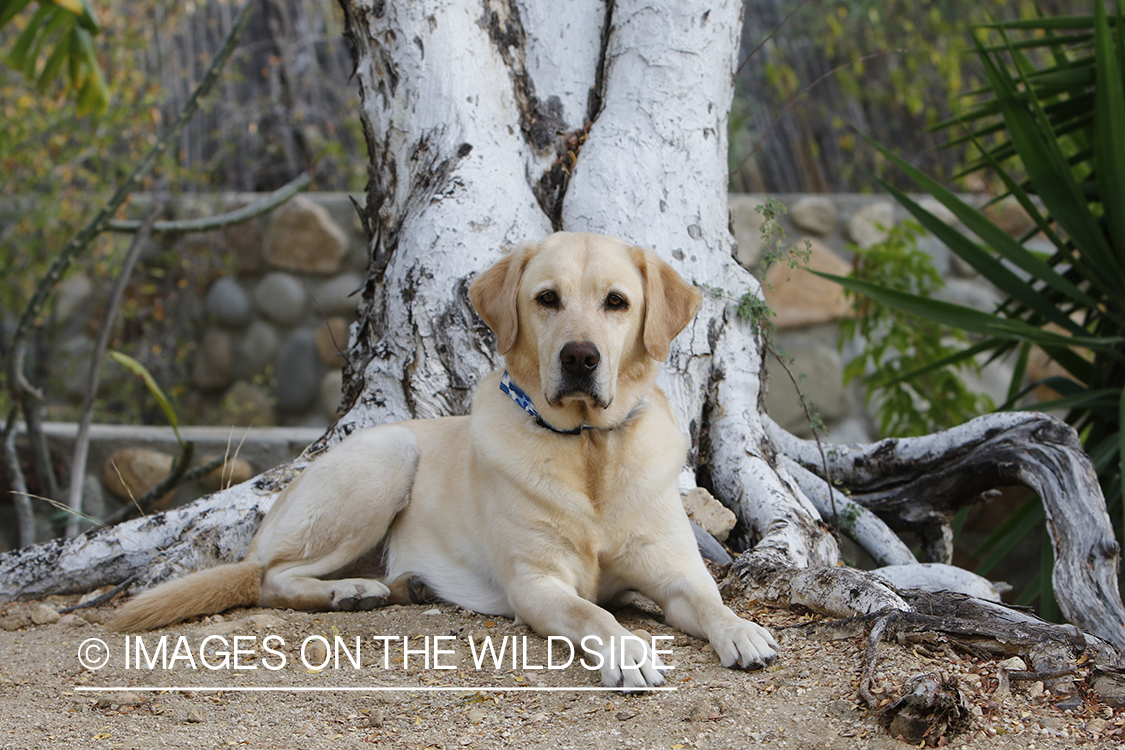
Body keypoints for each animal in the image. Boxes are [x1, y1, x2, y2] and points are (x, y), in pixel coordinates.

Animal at [116, 231, 783, 688]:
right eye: (547, 299)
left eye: (617, 302)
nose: (580, 357)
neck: (588, 449)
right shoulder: (536, 584)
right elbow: (594, 613)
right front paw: (627, 652)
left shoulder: (674, 572)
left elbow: (710, 599)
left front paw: (743, 631)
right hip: (386, 459)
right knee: (272, 579)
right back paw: (349, 591)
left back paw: (396, 584)